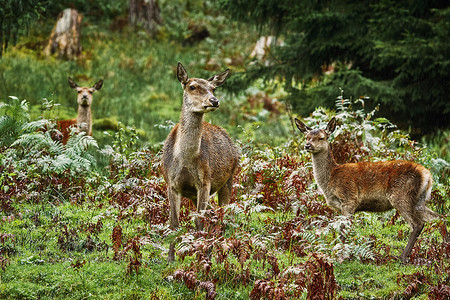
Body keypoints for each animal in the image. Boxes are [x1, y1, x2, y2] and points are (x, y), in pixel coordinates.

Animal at [161, 62, 239, 262]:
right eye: (192, 86)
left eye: (213, 88)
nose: (214, 101)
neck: (184, 160)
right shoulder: (171, 183)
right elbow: (174, 222)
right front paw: (170, 259)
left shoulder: (205, 182)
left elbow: (198, 221)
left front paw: (198, 258)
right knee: (212, 215)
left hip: (227, 180)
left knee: (221, 217)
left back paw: (216, 256)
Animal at [296, 116, 446, 262]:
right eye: (307, 137)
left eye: (321, 137)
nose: (307, 145)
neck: (330, 181)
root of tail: (427, 175)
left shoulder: (349, 198)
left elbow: (344, 231)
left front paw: (340, 256)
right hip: (419, 200)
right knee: (440, 218)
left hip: (401, 195)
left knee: (417, 224)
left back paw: (403, 257)